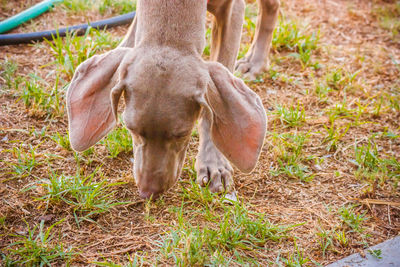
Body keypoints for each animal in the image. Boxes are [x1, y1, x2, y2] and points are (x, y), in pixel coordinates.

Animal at [67, 0, 276, 199]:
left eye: (182, 134)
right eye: (130, 128)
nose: (148, 193)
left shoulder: (233, 12)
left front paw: (214, 163)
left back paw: (255, 61)